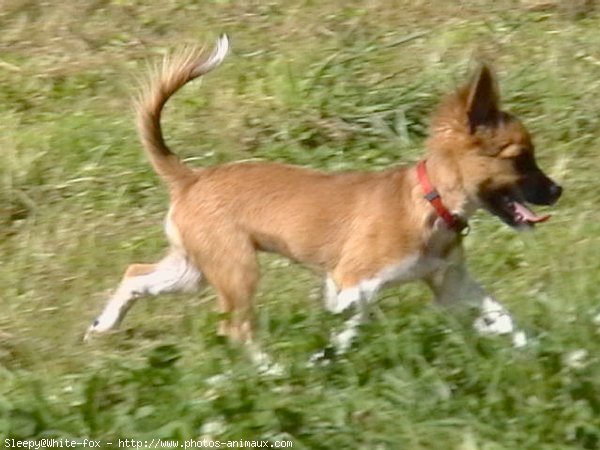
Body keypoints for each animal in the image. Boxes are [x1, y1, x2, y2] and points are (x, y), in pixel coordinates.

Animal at [84, 36, 564, 366]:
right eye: (520, 160)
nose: (558, 191)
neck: (429, 205)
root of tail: (191, 177)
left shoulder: (453, 287)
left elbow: (503, 318)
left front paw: (540, 353)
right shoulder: (350, 283)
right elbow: (354, 317)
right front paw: (329, 355)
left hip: (194, 269)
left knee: (136, 275)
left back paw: (102, 325)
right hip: (237, 269)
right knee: (235, 327)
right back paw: (272, 371)